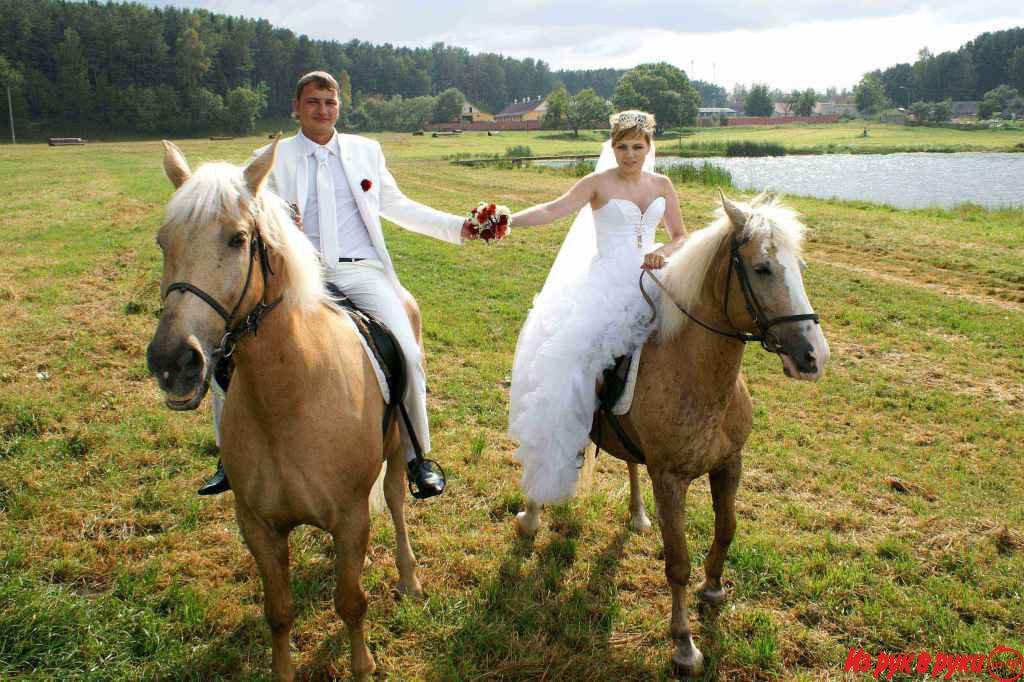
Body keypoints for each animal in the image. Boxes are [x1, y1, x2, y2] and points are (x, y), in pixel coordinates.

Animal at [146, 139, 421, 679]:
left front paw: (362, 665)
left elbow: (351, 603)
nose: (173, 363)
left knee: (398, 501)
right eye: (164, 242)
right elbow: (279, 611)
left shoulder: (350, 517)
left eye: (237, 239)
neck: (288, 398)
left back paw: (409, 578)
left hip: (399, 449)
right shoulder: (257, 525)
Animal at [516, 191, 827, 675]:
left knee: (628, 464)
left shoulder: (729, 464)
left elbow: (727, 528)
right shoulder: (670, 479)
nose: (813, 356)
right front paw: (684, 644)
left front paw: (714, 588)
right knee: (546, 447)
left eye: (799, 267)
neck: (695, 373)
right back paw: (531, 517)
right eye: (761, 268)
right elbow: (677, 562)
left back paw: (638, 516)